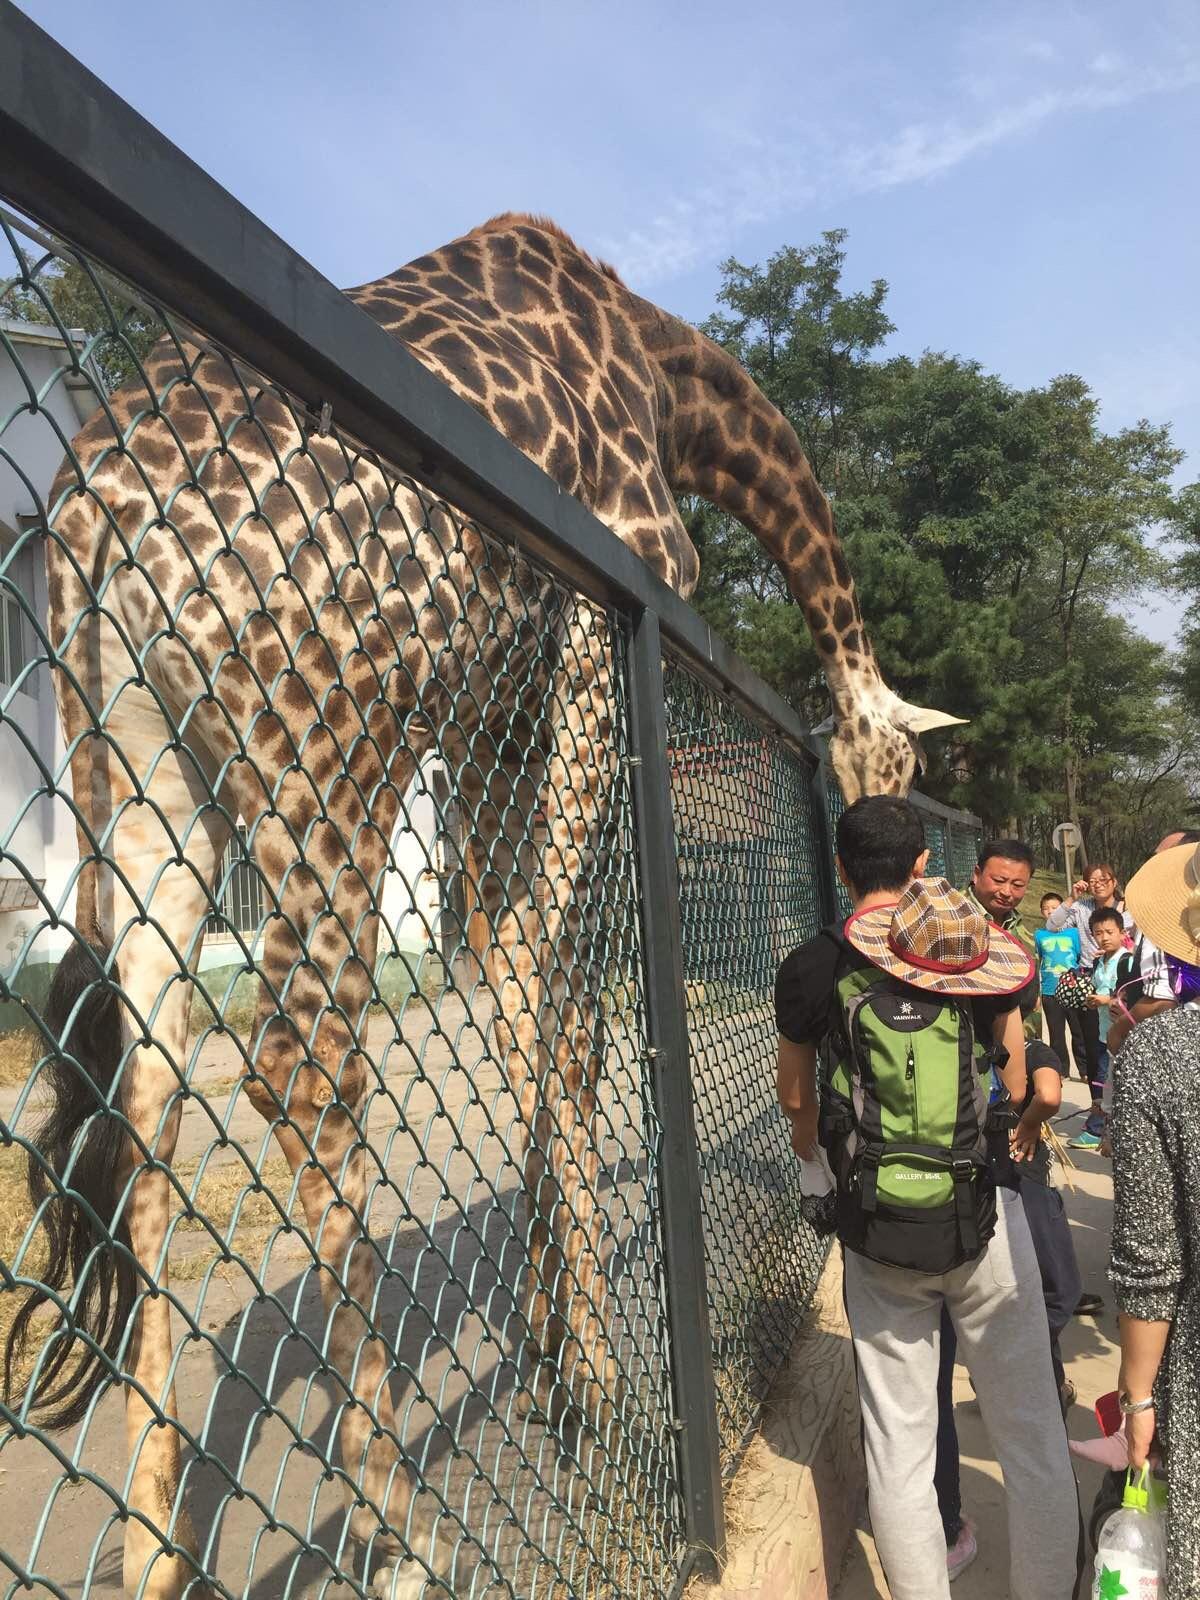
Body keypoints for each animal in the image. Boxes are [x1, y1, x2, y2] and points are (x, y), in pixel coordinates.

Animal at [2, 216, 960, 1600]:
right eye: (898, 778)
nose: (891, 910)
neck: (675, 390)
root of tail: (85, 525)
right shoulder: (615, 599)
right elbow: (542, 985)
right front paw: (594, 1371)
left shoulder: (491, 722)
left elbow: (536, 997)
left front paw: (561, 1350)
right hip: (324, 748)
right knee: (301, 1060)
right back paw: (402, 1530)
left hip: (139, 779)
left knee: (149, 1100)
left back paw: (156, 1542)